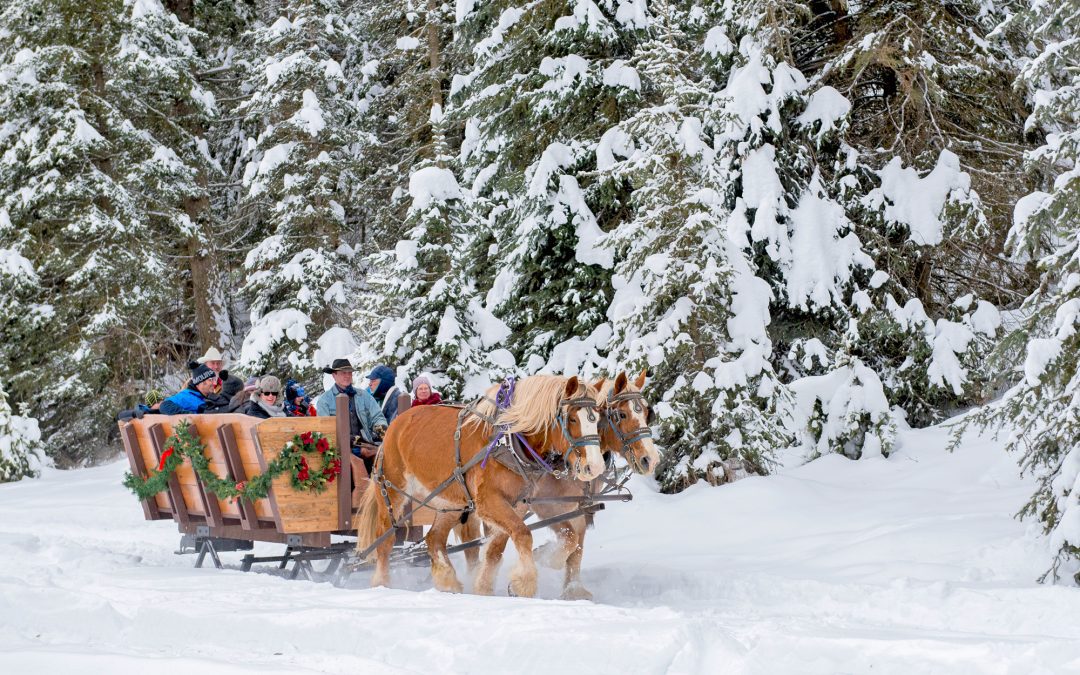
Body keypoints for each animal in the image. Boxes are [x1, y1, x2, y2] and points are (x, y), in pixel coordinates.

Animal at [356, 373, 604, 596]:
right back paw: (382, 584)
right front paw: (524, 583)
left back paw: (448, 582)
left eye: (598, 419)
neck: (508, 438)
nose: (595, 467)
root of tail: (394, 426)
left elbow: (500, 547)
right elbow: (523, 534)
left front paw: (485, 587)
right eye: (572, 418)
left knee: (434, 539)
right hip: (392, 490)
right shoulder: (488, 502)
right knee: (385, 539)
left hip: (451, 501)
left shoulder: (519, 504)